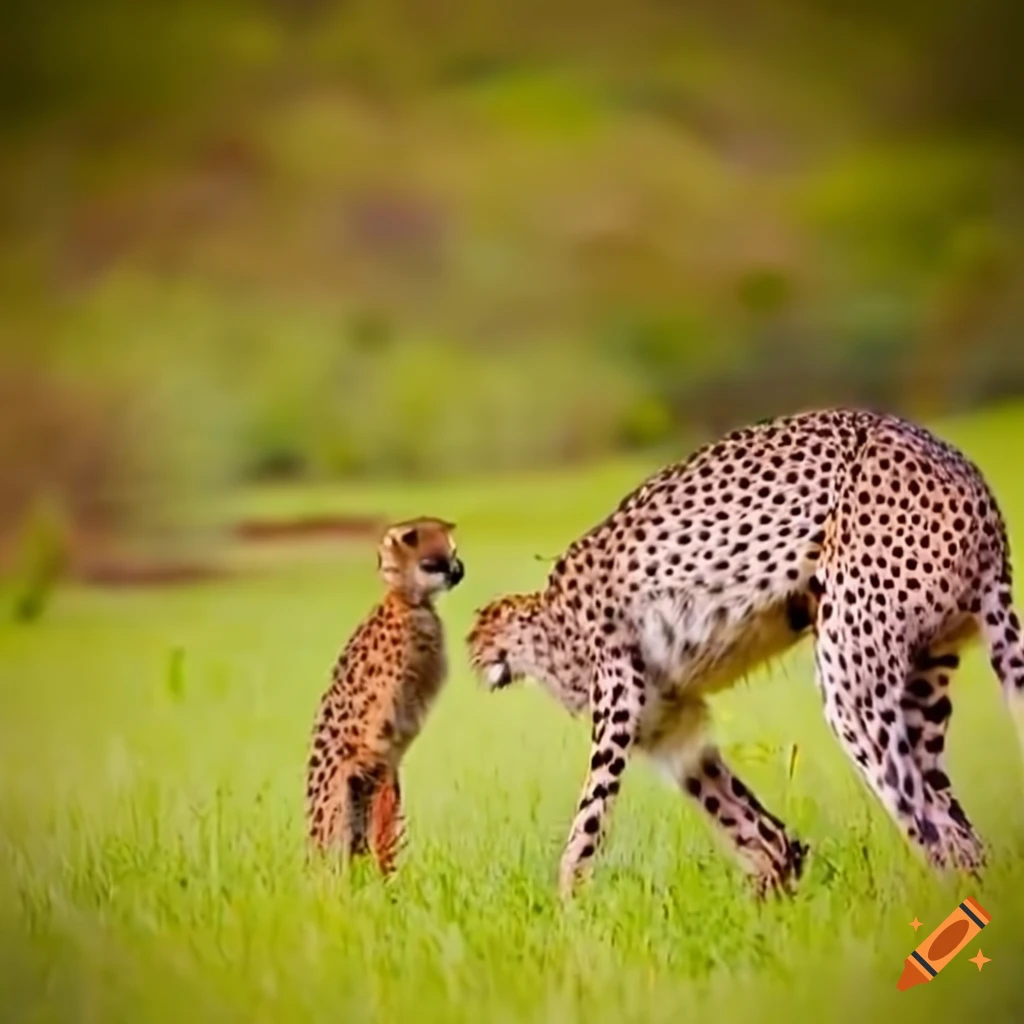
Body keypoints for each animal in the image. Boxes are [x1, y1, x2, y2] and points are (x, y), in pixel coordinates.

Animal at [306, 517, 464, 875]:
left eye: (454, 553)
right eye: (432, 562)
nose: (458, 571)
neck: (410, 604)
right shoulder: (377, 742)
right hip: (338, 805)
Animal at [466, 407, 1024, 899]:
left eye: (474, 642)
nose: (471, 663)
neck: (546, 625)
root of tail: (973, 482)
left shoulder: (620, 700)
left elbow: (589, 814)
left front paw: (566, 905)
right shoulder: (671, 725)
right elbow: (734, 809)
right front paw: (775, 878)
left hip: (851, 681)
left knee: (934, 826)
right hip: (921, 682)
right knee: (961, 831)